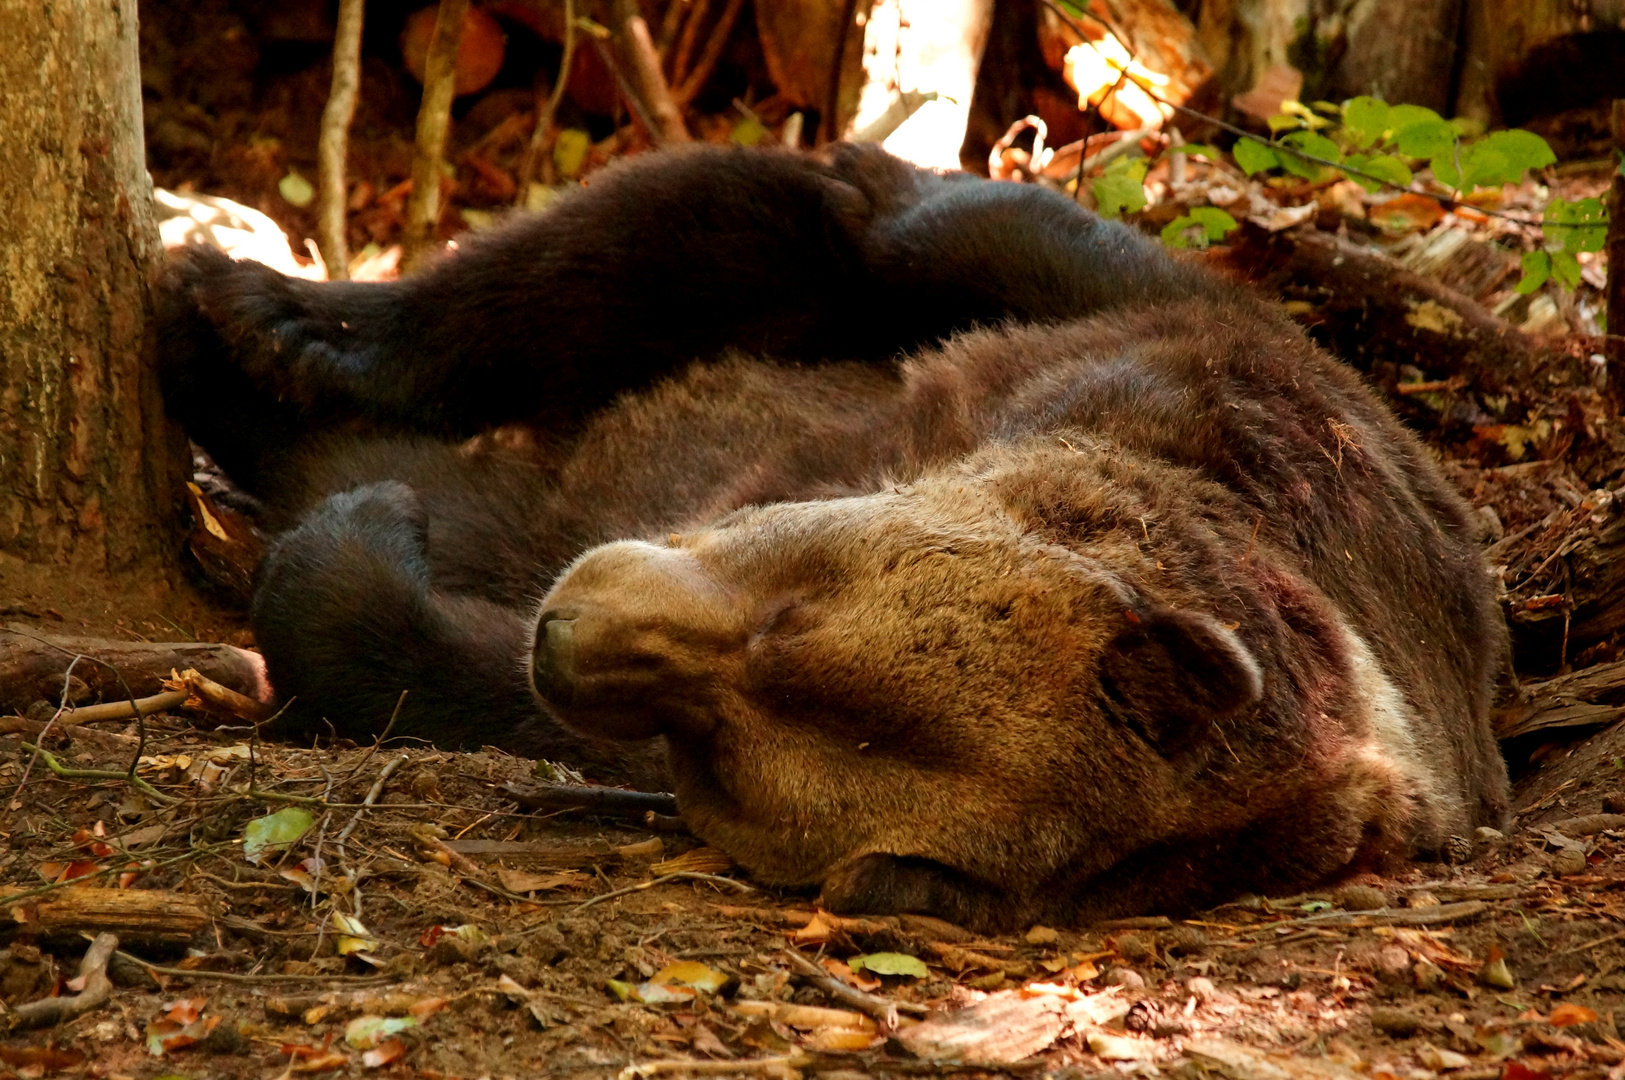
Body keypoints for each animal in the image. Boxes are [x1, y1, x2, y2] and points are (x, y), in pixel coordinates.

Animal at [161, 142, 1508, 928]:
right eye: (793, 601)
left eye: (722, 748)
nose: (569, 628)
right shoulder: (1173, 361)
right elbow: (856, 222)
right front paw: (258, 328)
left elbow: (431, 648)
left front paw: (357, 532)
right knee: (727, 231)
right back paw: (262, 315)